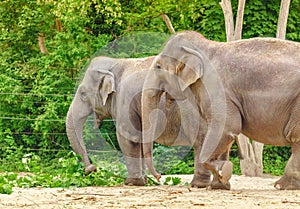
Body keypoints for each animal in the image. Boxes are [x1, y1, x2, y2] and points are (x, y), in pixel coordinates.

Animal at [65, 54, 211, 187]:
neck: (116, 63)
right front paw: (143, 181)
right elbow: (139, 139)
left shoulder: (124, 100)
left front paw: (131, 182)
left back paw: (198, 184)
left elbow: (129, 138)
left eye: (83, 94)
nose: (91, 169)